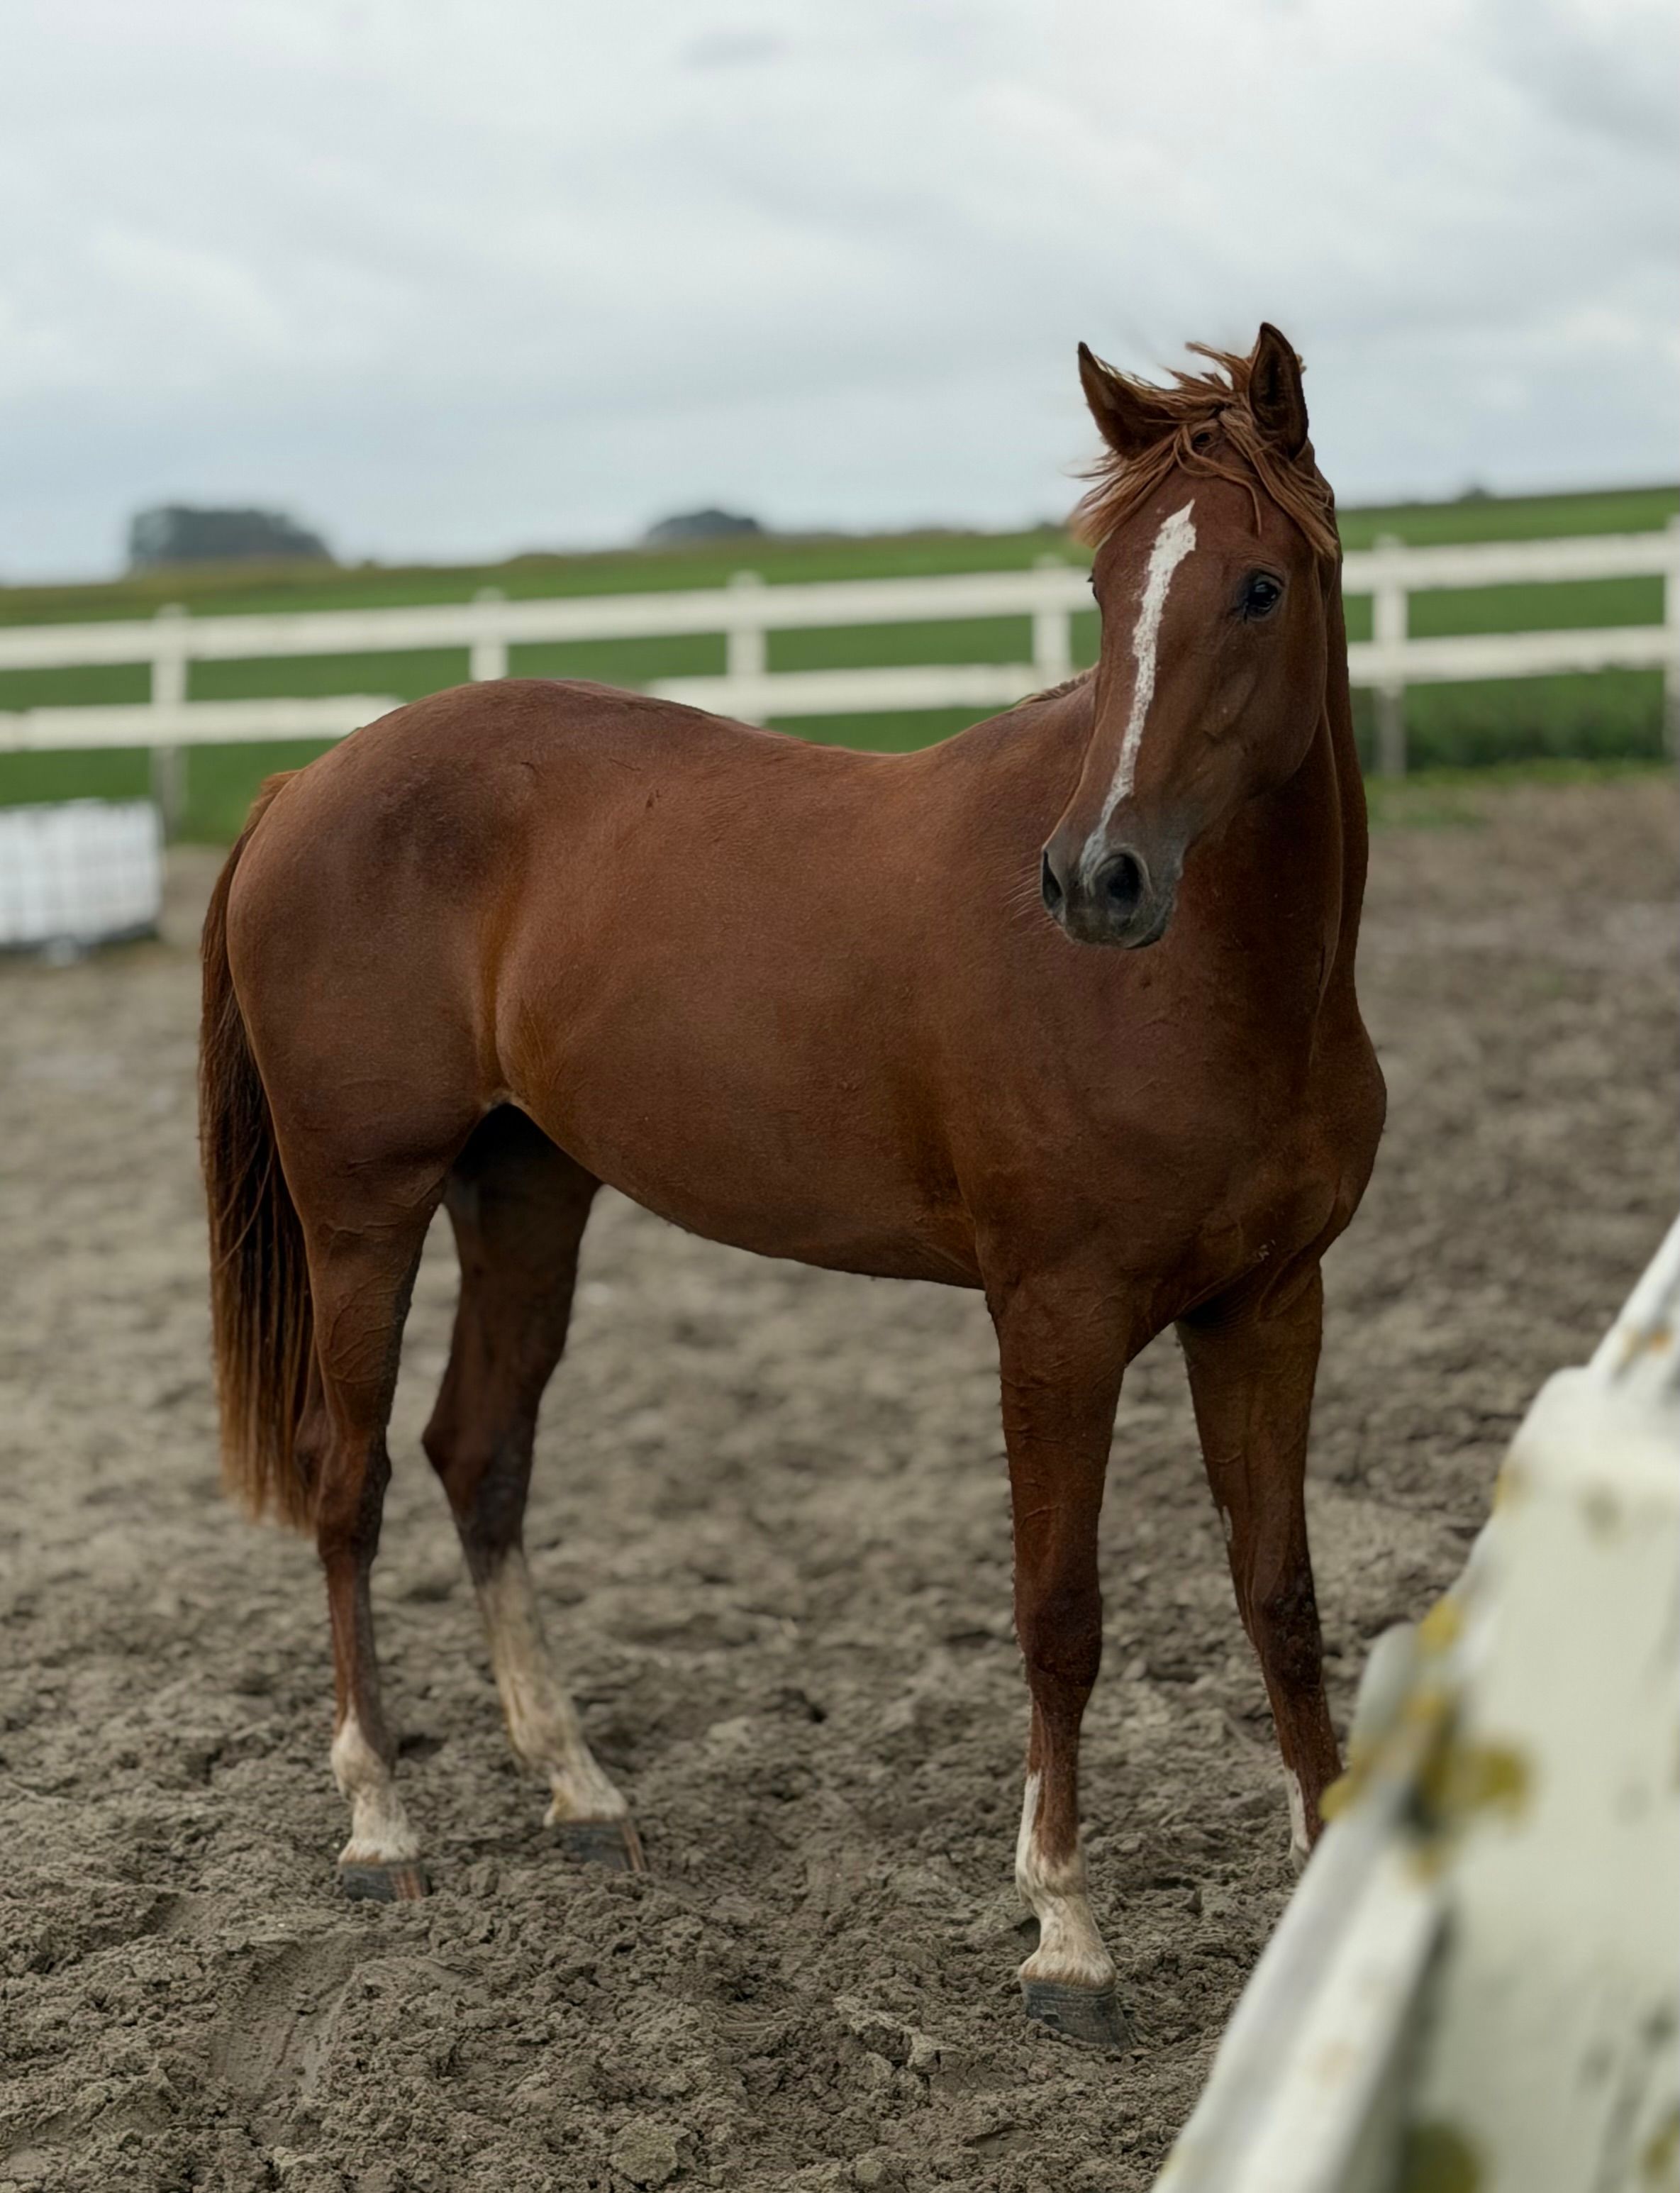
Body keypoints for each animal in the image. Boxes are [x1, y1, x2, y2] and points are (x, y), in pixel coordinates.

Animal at [199, 323, 1383, 2047]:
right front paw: (1064, 1936)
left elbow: (1277, 1589)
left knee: (476, 1456)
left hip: (524, 1193)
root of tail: (307, 779)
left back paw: (579, 1791)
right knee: (342, 1481)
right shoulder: (1058, 1318)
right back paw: (380, 1827)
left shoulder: (1267, 1304)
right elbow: (1059, 1613)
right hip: (365, 1207)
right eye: (1105, 590)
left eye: (1256, 586)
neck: (1211, 989)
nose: (1093, 877)